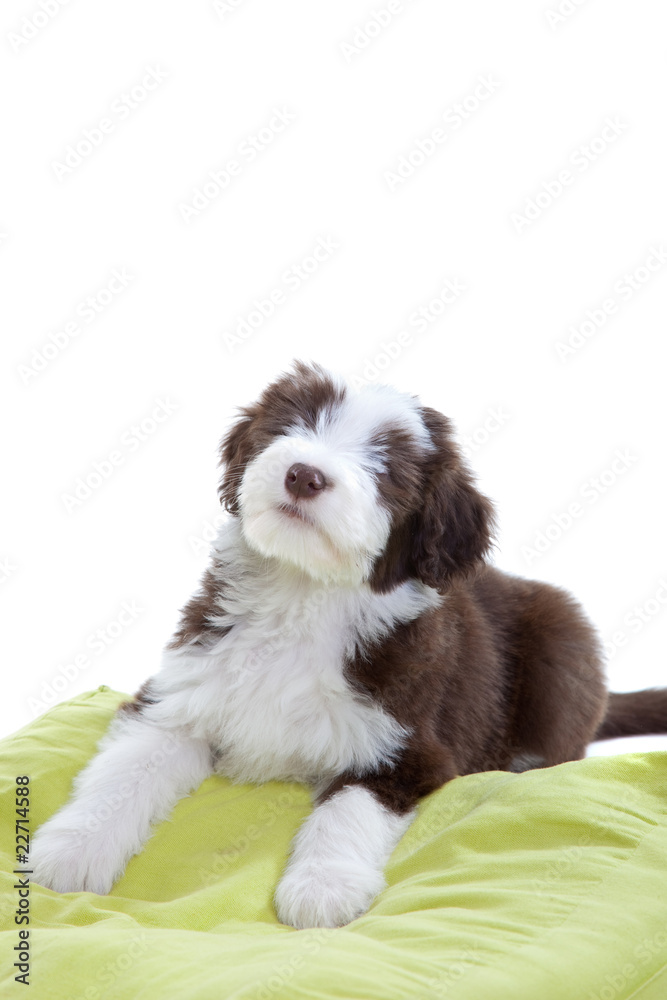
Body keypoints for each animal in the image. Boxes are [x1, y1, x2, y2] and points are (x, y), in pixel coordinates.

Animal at [31, 362, 667, 928]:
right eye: (295, 423)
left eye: (386, 469)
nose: (304, 475)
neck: (301, 602)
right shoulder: (178, 698)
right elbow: (125, 772)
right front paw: (71, 850)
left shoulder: (408, 746)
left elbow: (347, 809)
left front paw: (322, 887)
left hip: (564, 639)